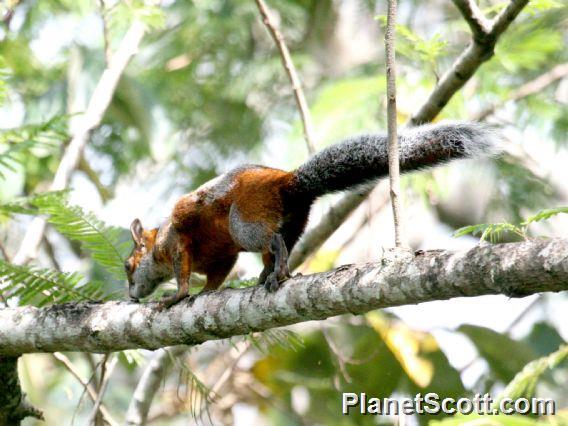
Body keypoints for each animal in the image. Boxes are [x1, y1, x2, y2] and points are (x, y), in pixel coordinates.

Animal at [125, 121, 502, 308]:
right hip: (295, 219)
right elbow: (216, 276)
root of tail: (287, 183)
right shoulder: (220, 259)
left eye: (129, 266)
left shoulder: (177, 244)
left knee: (271, 240)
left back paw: (274, 269)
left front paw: (176, 296)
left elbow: (183, 274)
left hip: (243, 220)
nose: (131, 295)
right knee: (284, 242)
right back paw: (270, 273)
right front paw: (206, 293)